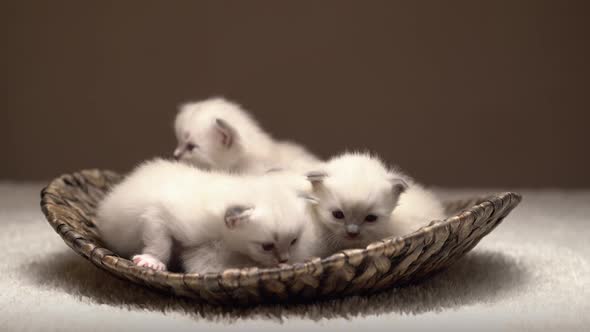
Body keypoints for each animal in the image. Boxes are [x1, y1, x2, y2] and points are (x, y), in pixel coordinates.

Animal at [96, 159, 314, 272]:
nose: (284, 260)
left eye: (293, 241)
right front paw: (153, 260)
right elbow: (160, 242)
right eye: (267, 246)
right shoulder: (160, 214)